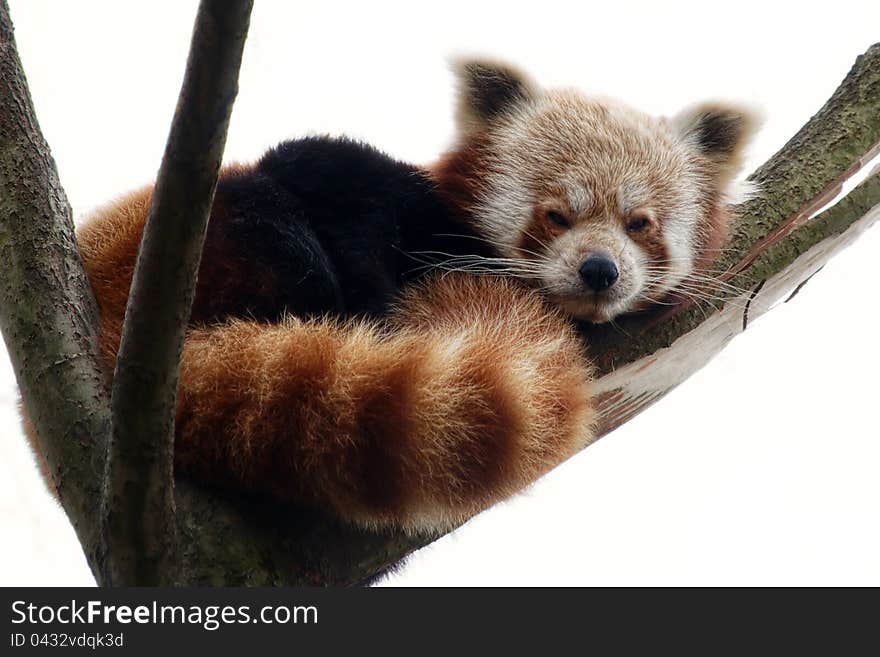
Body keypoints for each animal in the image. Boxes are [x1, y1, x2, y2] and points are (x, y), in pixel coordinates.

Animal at [27, 59, 756, 532]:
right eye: (555, 216)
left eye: (641, 224)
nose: (600, 270)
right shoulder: (369, 182)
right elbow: (327, 168)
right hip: (200, 234)